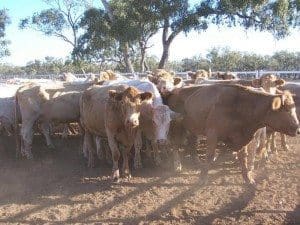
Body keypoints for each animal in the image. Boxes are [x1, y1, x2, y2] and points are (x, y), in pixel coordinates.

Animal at [164, 83, 300, 185]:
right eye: (286, 110)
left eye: (294, 108)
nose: (297, 129)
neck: (240, 105)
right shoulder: (212, 134)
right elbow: (209, 156)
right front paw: (202, 178)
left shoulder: (241, 137)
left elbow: (243, 157)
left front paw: (248, 178)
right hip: (176, 126)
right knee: (175, 145)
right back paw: (177, 165)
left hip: (192, 128)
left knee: (192, 142)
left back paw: (196, 160)